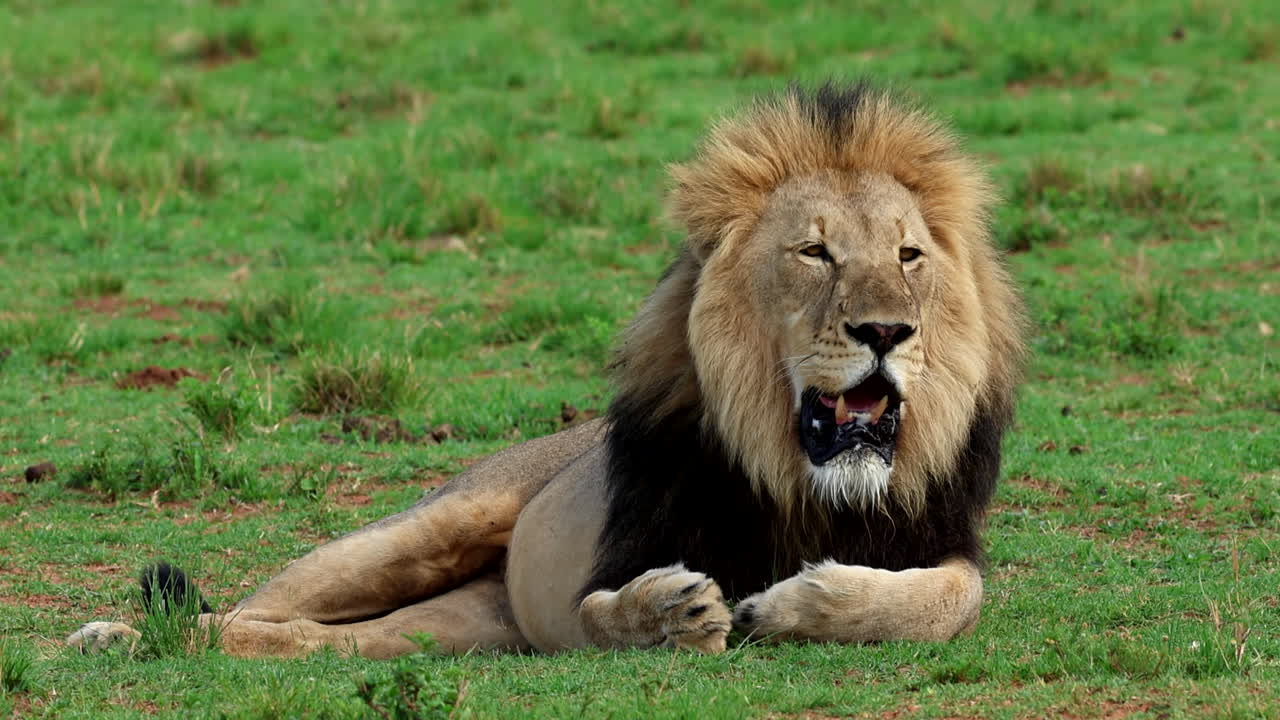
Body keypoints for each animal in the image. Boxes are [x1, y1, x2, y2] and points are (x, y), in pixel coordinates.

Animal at [69, 82, 1025, 658]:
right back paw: (119, 639)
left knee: (312, 639)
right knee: (234, 612)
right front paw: (668, 615)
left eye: (907, 255)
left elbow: (949, 598)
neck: (803, 484)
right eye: (815, 252)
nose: (886, 330)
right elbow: (605, 612)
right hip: (423, 527)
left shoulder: (939, 542)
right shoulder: (610, 561)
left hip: (455, 628)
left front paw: (793, 605)